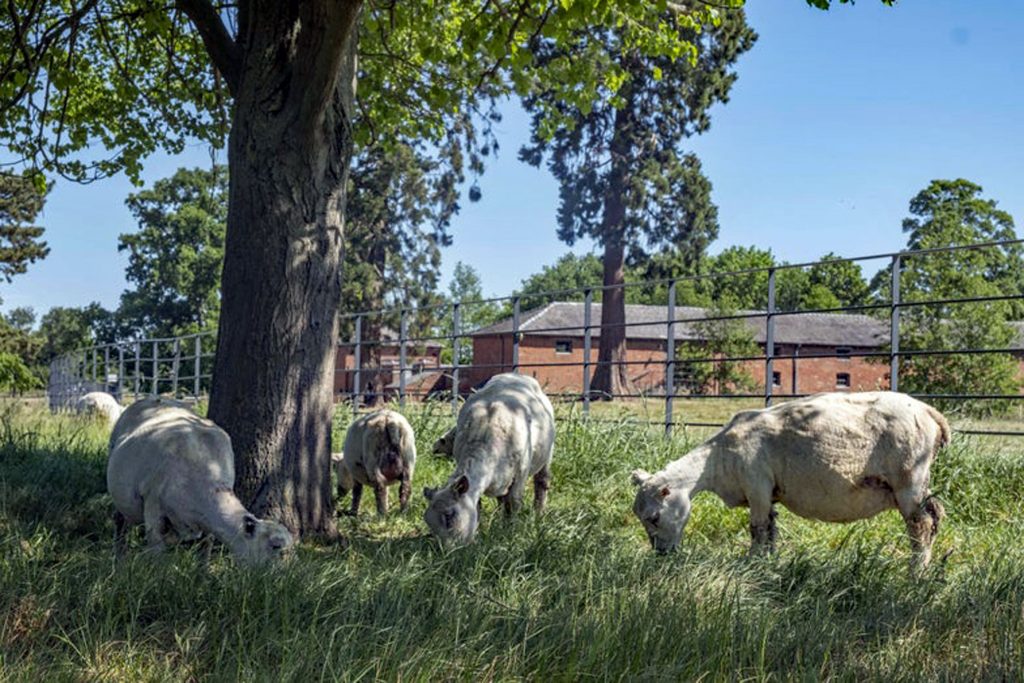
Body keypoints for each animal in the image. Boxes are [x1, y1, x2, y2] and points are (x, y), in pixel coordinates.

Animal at [107, 396, 293, 564]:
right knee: (120, 523)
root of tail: (152, 398)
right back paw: (119, 560)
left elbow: (206, 549)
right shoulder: (153, 508)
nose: (288, 577)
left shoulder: (207, 524)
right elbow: (157, 555)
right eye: (275, 546)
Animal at [423, 373, 555, 545]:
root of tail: (515, 374)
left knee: (541, 483)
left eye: (449, 515)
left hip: (547, 455)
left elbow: (514, 502)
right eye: (428, 522)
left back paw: (539, 514)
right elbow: (479, 506)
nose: (444, 550)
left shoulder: (520, 473)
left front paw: (510, 532)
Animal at [631, 391, 949, 570]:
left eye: (654, 517)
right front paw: (767, 563)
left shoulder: (757, 484)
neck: (717, 460)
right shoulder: (768, 492)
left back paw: (916, 571)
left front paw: (752, 563)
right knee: (933, 516)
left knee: (921, 525)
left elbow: (758, 529)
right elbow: (771, 529)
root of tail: (930, 412)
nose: (661, 554)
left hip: (909, 477)